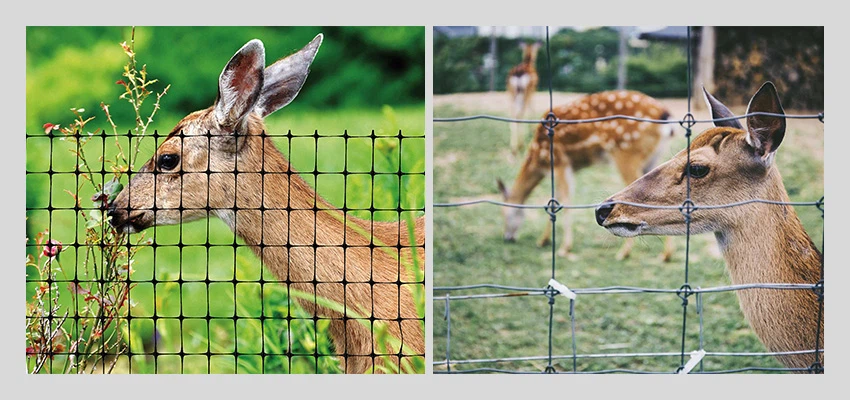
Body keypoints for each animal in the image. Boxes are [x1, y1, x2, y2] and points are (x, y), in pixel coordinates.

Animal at [497, 90, 676, 261]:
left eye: (505, 213)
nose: (507, 238)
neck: (538, 158)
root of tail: (666, 116)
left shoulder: (560, 161)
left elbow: (564, 199)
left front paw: (564, 248)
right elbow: (555, 198)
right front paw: (543, 240)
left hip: (626, 152)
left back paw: (623, 253)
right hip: (654, 157)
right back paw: (665, 255)